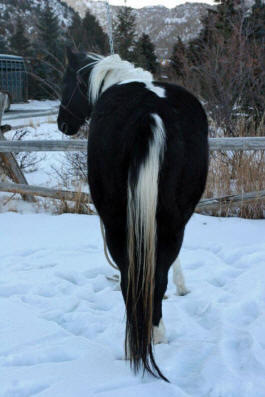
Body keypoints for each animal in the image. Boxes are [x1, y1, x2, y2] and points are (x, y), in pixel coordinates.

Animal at [57, 49, 208, 380]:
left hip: (117, 223)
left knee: (131, 279)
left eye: (66, 82)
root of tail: (148, 114)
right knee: (154, 276)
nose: (62, 123)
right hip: (172, 220)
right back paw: (155, 333)